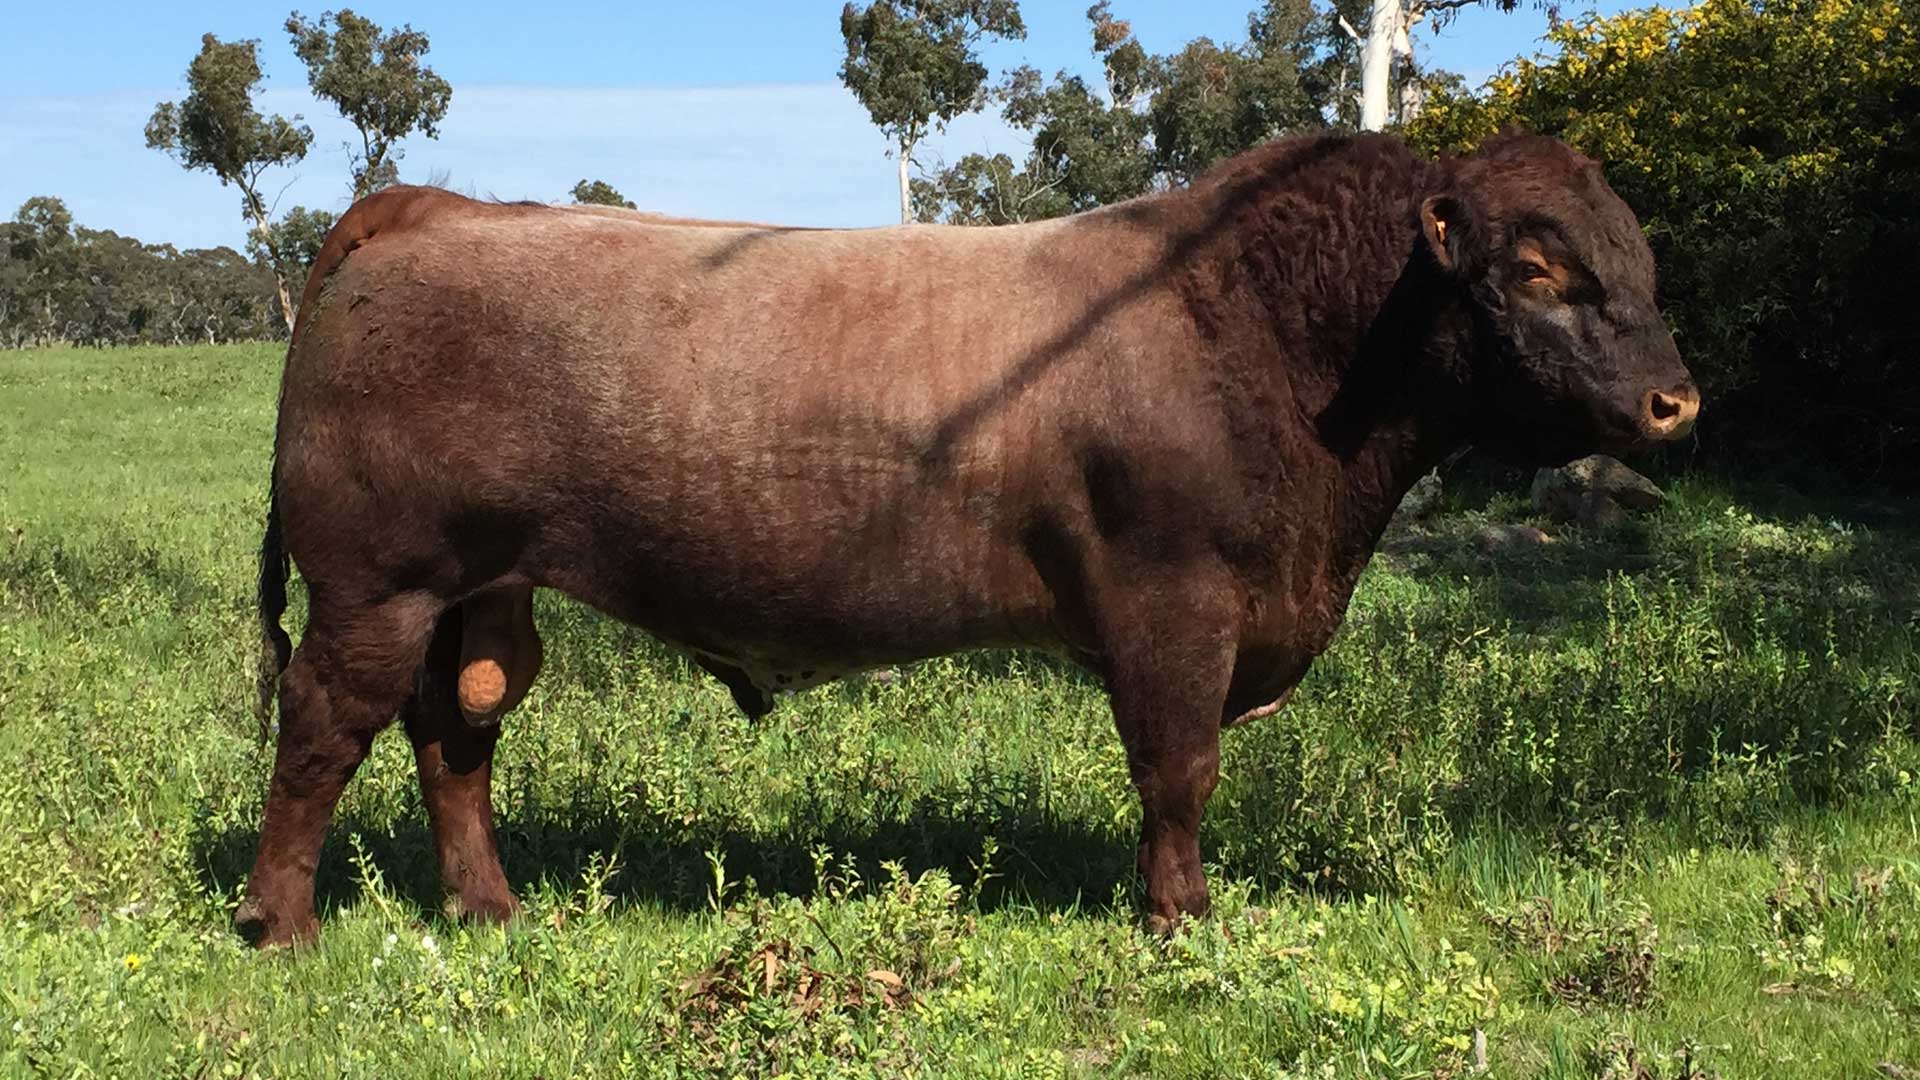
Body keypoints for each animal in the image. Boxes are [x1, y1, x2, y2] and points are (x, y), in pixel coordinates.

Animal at [237, 132, 1699, 946]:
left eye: (1638, 256)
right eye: (1536, 270)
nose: (1675, 402)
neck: (1260, 333)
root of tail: (433, 207)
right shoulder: (1174, 609)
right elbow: (1179, 773)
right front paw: (1181, 921)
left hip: (474, 594)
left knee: (454, 739)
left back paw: (486, 909)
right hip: (376, 588)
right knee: (320, 731)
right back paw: (283, 922)